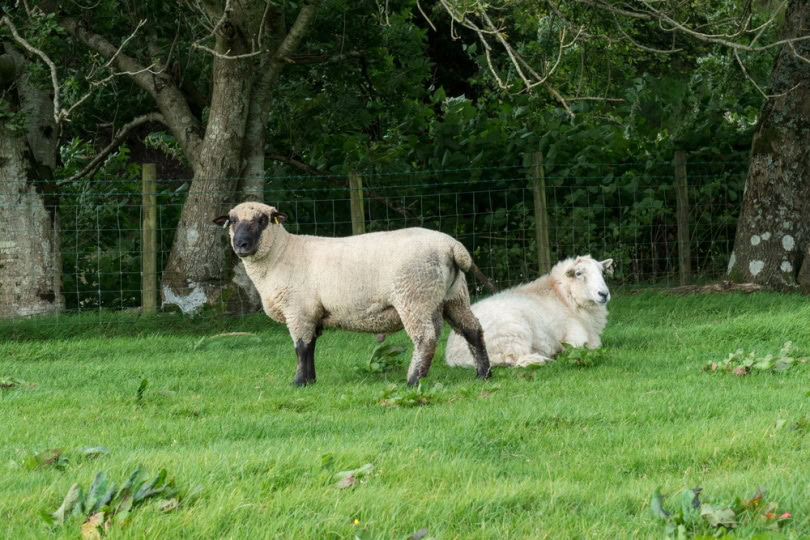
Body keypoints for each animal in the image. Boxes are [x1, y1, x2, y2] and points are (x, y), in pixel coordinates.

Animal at [213, 202, 491, 386]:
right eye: (232, 221)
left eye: (262, 220)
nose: (241, 245)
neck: (281, 254)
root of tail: (452, 246)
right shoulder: (311, 314)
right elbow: (310, 347)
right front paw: (311, 381)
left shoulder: (298, 310)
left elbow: (300, 348)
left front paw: (298, 382)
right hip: (452, 296)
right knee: (473, 330)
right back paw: (484, 374)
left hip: (414, 297)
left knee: (426, 339)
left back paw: (413, 381)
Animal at [444, 255, 614, 368]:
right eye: (579, 274)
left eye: (602, 272)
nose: (604, 294)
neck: (564, 296)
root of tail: (453, 355)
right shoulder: (575, 338)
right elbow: (590, 346)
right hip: (512, 332)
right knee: (514, 360)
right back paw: (543, 359)